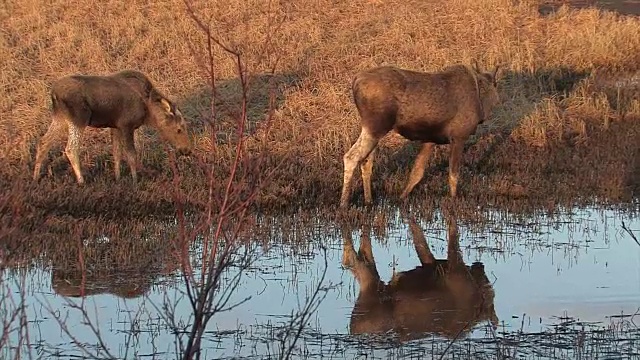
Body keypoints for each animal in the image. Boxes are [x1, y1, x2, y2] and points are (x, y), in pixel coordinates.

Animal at [32, 69, 192, 184]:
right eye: (179, 129)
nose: (186, 150)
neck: (149, 112)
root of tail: (53, 94)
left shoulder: (115, 127)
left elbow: (116, 153)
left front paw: (118, 177)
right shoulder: (127, 126)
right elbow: (131, 154)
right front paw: (135, 180)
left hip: (60, 118)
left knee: (43, 142)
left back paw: (35, 178)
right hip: (78, 119)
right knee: (71, 148)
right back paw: (81, 181)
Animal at [342, 63, 502, 207]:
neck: (481, 102)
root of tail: (355, 81)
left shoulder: (430, 139)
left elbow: (417, 172)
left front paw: (401, 198)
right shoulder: (459, 137)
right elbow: (453, 175)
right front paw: (453, 200)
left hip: (373, 130)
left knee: (366, 162)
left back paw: (368, 201)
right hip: (376, 126)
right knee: (351, 157)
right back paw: (344, 203)